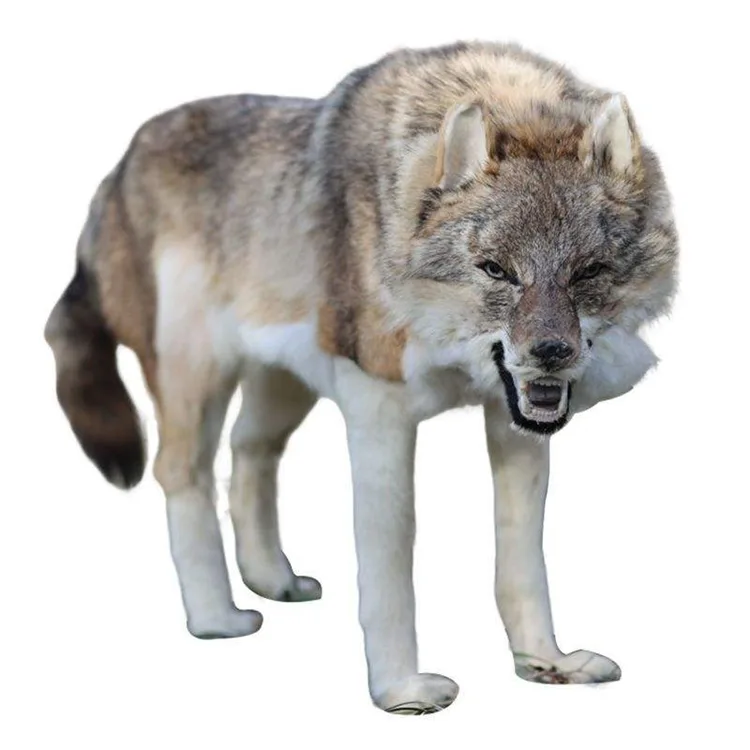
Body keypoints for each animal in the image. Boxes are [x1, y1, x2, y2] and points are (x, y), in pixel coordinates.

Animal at [45, 41, 677, 713]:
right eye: (496, 270)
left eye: (588, 272)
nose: (552, 352)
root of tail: (122, 161)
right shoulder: (380, 410)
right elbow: (389, 567)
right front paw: (401, 691)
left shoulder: (514, 423)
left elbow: (522, 562)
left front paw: (545, 665)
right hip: (199, 377)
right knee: (182, 472)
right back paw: (217, 619)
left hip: (281, 387)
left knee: (249, 451)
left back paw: (273, 581)